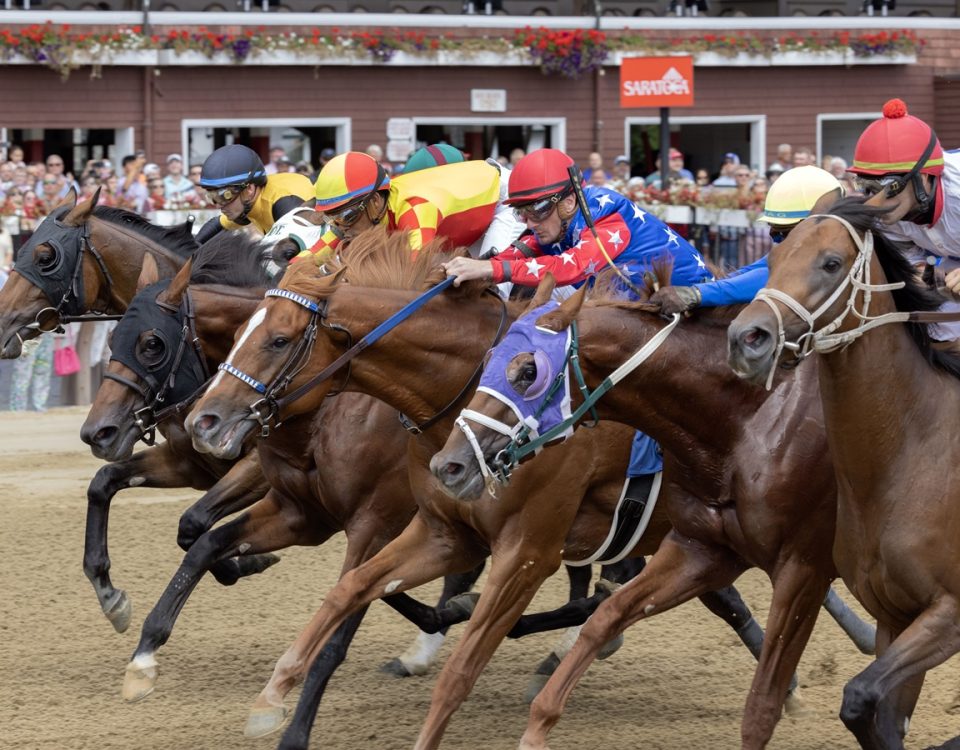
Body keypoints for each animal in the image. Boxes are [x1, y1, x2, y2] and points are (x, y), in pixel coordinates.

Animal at [188, 234, 796, 750]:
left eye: (278, 340)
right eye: (238, 333)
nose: (202, 421)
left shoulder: (525, 551)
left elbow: (459, 668)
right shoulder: (442, 533)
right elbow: (349, 590)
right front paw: (272, 696)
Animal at [436, 268, 876, 748]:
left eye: (529, 370)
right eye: (489, 357)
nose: (448, 465)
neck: (749, 420)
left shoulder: (803, 567)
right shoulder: (707, 548)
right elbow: (609, 612)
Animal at [728, 201, 960, 750]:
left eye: (831, 263)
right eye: (772, 260)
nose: (746, 339)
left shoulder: (950, 613)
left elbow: (860, 695)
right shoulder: (895, 616)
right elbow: (872, 712)